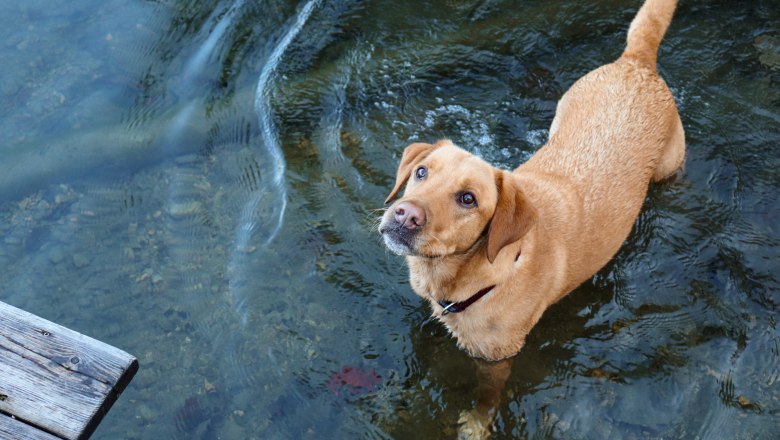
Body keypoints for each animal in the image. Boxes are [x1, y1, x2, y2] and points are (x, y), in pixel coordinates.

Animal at [378, 0, 684, 434]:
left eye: (468, 199)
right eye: (421, 172)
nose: (404, 214)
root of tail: (636, 62)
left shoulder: (497, 359)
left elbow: (487, 398)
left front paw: (476, 425)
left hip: (671, 166)